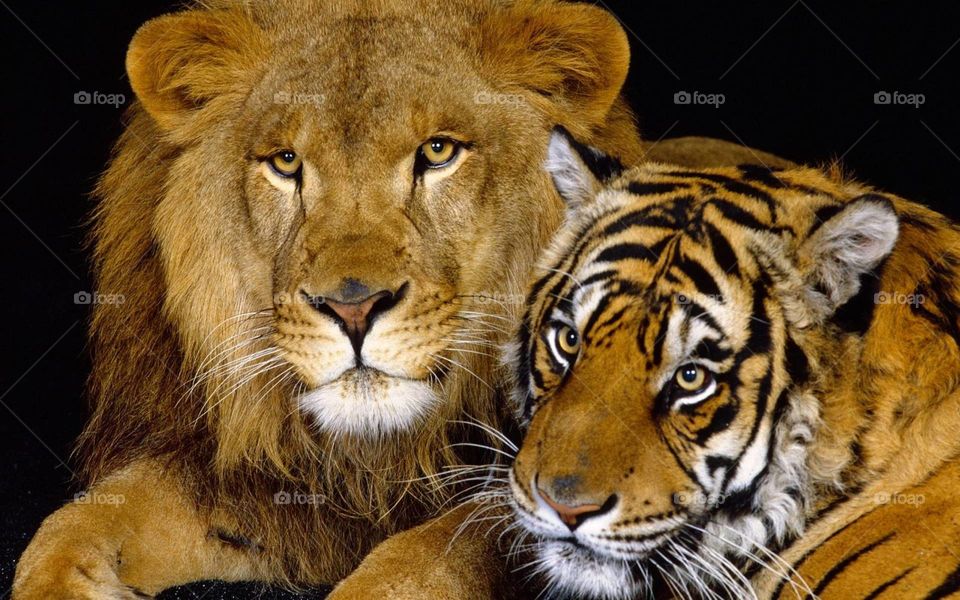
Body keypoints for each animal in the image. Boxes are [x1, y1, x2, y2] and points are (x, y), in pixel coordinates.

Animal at [13, 1, 788, 597]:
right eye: (286, 162)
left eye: (438, 151)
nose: (353, 308)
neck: (379, 455)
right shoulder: (255, 483)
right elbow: (76, 525)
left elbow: (429, 556)